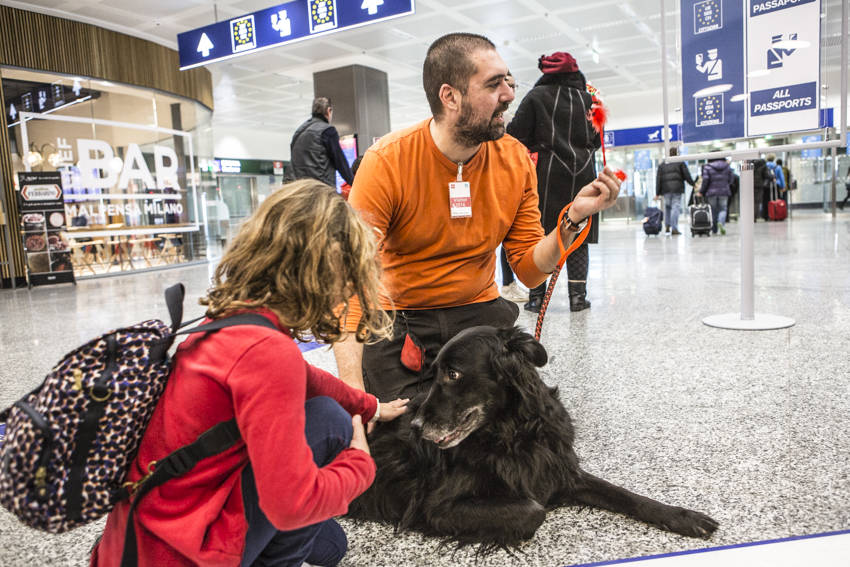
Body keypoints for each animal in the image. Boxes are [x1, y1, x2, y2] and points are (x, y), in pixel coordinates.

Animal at [348, 326, 720, 552]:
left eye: (453, 374)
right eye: (435, 372)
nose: (416, 425)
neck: (512, 433)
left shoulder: (560, 468)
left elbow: (626, 495)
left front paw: (685, 517)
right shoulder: (436, 507)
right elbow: (533, 509)